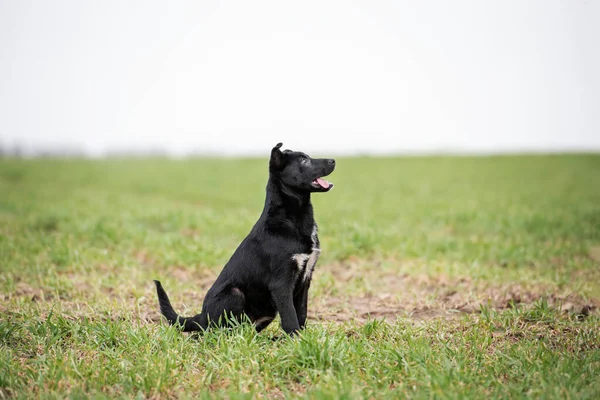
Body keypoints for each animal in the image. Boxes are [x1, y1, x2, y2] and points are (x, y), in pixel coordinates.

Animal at [152, 142, 336, 336]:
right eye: (303, 160)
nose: (333, 160)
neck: (291, 219)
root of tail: (202, 317)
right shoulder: (281, 283)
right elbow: (290, 317)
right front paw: (295, 339)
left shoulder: (306, 278)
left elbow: (301, 313)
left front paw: (303, 338)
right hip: (234, 294)